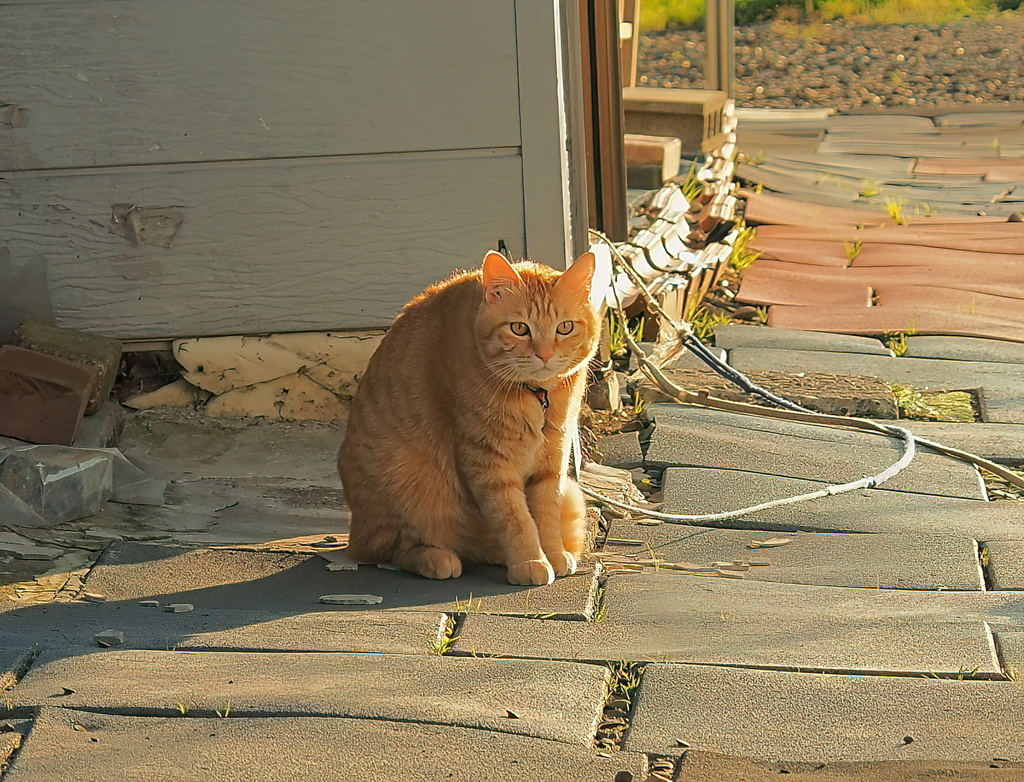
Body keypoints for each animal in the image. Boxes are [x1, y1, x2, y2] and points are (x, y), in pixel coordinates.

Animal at [335, 250, 598, 585]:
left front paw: (552, 552)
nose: (545, 355)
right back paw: (437, 559)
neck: (536, 397)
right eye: (519, 328)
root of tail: (355, 534)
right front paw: (530, 560)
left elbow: (546, 512)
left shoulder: (554, 457)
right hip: (402, 478)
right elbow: (517, 519)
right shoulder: (488, 463)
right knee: (393, 549)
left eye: (564, 327)